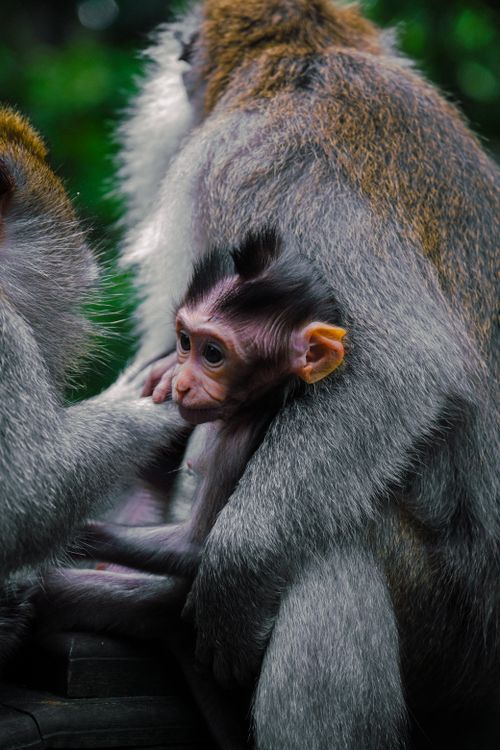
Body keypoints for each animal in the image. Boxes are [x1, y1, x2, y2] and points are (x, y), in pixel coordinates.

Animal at [31, 0, 499, 747]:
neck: (311, 56)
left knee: (334, 548)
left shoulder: (263, 155)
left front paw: (233, 573)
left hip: (451, 626)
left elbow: (398, 368)